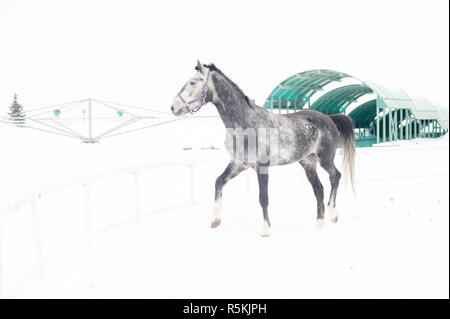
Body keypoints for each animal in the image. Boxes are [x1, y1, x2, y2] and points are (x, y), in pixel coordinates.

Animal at [171, 61, 356, 236]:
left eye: (193, 82)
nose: (173, 107)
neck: (246, 124)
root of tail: (329, 118)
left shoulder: (262, 167)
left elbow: (263, 198)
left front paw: (265, 231)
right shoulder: (239, 163)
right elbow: (218, 182)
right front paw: (215, 220)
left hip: (325, 159)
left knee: (335, 176)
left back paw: (333, 214)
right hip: (308, 163)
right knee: (319, 190)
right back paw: (319, 224)